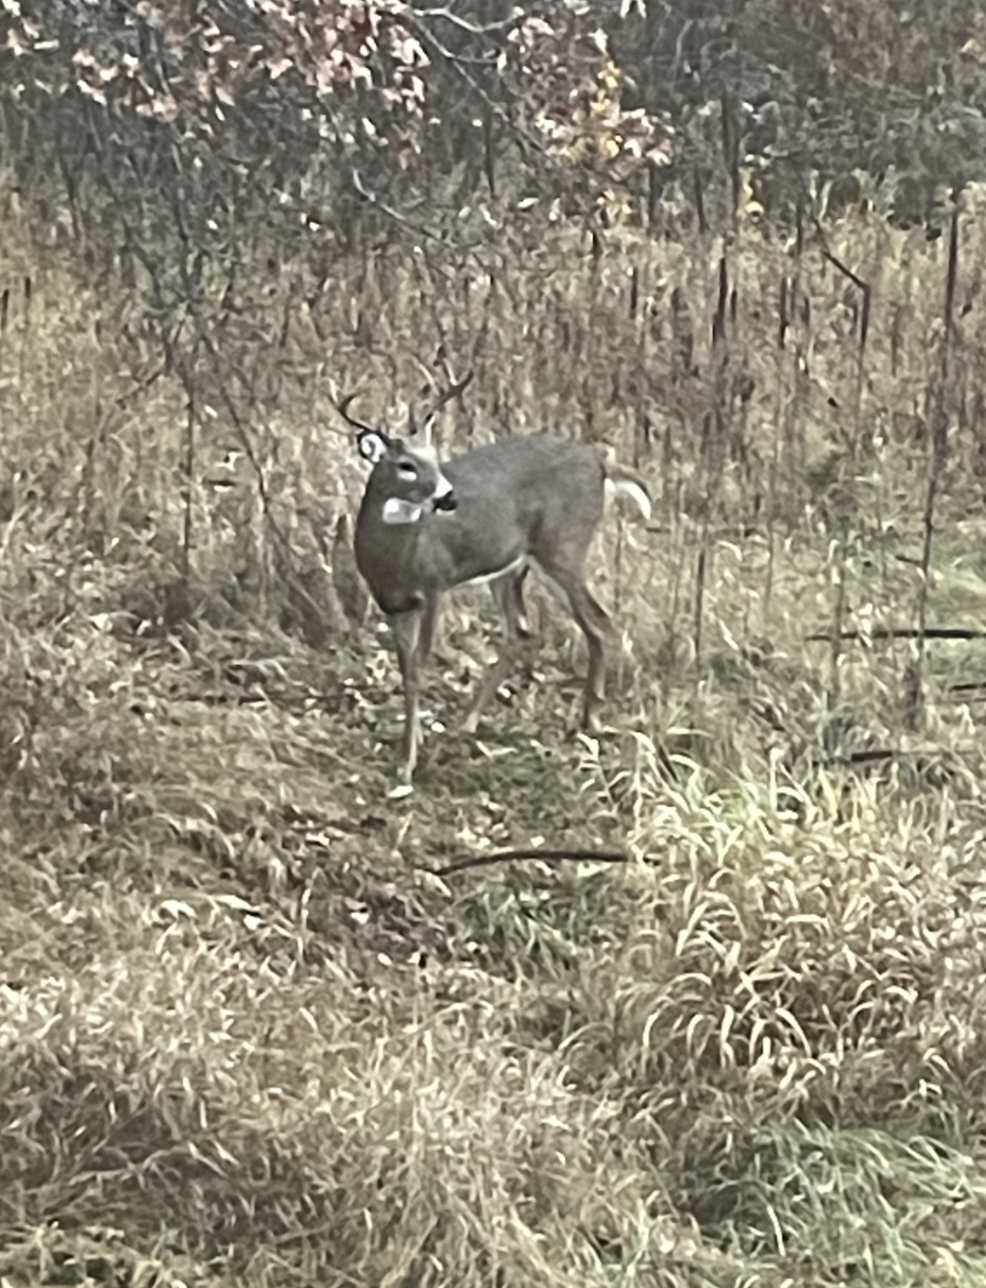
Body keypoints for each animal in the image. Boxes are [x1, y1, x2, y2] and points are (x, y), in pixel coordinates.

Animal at [334, 373, 653, 788]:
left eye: (434, 457)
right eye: (406, 465)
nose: (448, 498)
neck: (396, 557)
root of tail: (601, 463)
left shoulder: (435, 584)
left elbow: (418, 668)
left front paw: (406, 764)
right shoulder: (393, 602)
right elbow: (406, 670)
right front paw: (411, 742)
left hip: (562, 547)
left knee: (599, 622)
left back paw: (591, 719)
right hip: (509, 568)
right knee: (523, 630)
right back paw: (469, 721)